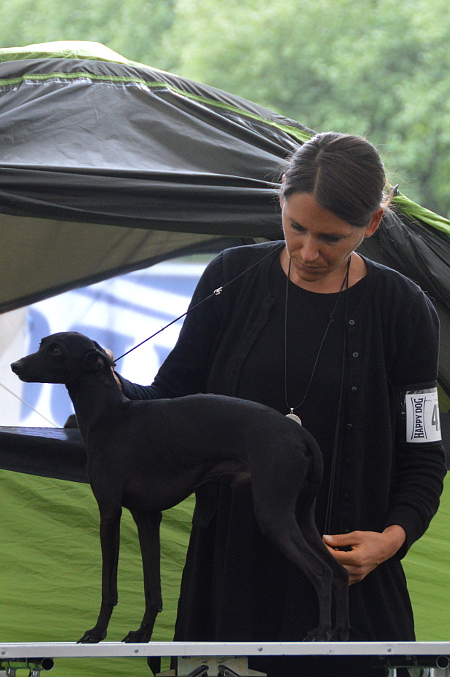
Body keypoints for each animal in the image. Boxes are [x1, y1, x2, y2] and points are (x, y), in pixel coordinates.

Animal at [11, 332, 349, 644]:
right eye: (42, 343)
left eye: (56, 350)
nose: (15, 365)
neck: (109, 415)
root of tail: (299, 434)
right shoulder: (147, 517)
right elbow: (153, 589)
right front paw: (142, 634)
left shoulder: (109, 512)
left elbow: (109, 586)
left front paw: (97, 633)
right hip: (302, 516)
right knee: (340, 571)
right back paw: (340, 632)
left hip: (273, 514)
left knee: (322, 572)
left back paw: (321, 632)